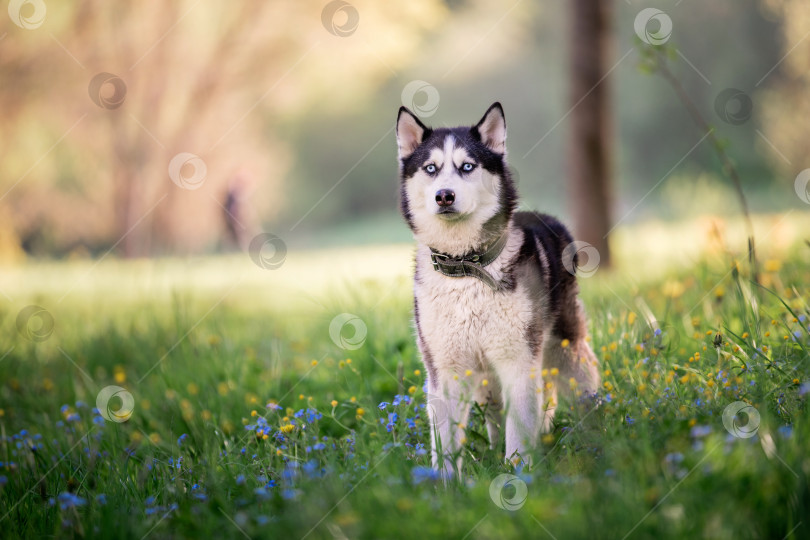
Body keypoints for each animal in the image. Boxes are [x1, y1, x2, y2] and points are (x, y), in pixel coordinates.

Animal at [394, 103, 596, 474]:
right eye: (431, 168)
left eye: (467, 166)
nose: (444, 195)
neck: (466, 267)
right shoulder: (445, 371)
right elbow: (445, 446)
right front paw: (445, 485)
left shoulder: (519, 362)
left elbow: (518, 436)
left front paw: (518, 477)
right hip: (486, 380)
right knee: (497, 416)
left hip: (565, 348)